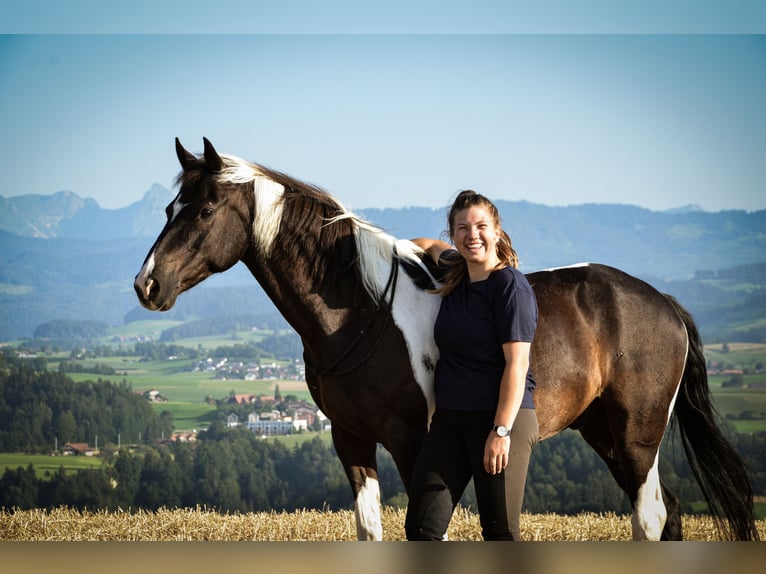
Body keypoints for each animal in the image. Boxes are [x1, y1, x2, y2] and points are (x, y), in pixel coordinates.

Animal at [135, 137, 760, 544]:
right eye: (169, 207)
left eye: (206, 210)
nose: (148, 285)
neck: (362, 310)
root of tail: (663, 303)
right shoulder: (350, 440)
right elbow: (370, 530)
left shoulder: (413, 442)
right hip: (604, 432)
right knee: (668, 513)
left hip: (636, 437)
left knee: (650, 517)